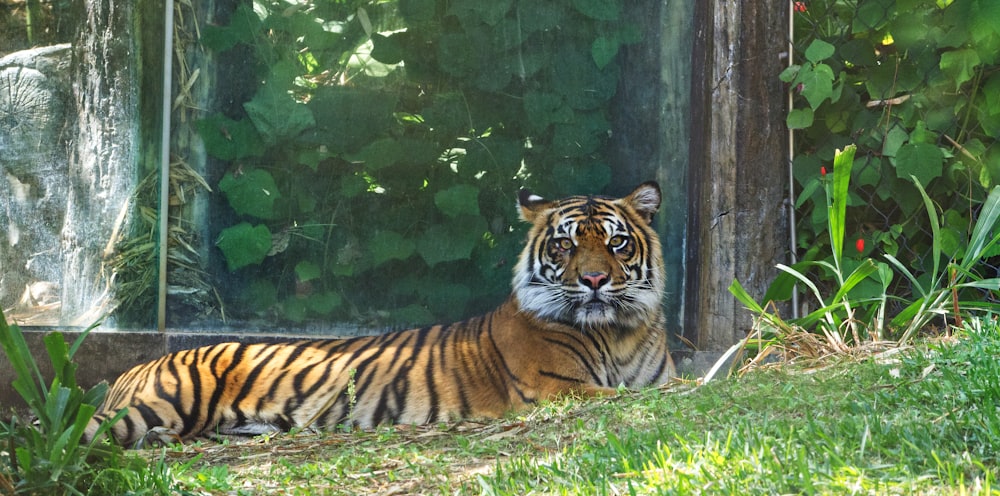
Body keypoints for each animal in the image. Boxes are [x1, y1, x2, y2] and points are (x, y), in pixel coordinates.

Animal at [86, 182, 676, 446]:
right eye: (565, 245)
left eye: (617, 244)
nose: (594, 281)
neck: (617, 333)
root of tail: (134, 368)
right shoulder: (560, 389)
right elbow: (632, 396)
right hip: (154, 405)